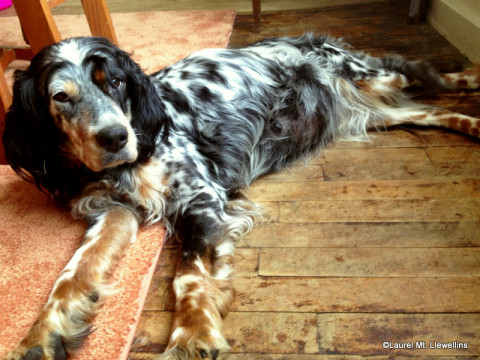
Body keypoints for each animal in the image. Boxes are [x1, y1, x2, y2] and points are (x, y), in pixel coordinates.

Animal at [3, 32, 480, 358]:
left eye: (116, 82)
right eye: (60, 97)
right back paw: (472, 125)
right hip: (375, 110)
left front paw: (192, 333)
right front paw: (42, 334)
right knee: (434, 110)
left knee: (423, 72)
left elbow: (188, 274)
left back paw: (471, 76)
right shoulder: (113, 211)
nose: (116, 137)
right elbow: (72, 274)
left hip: (369, 76)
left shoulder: (200, 197)